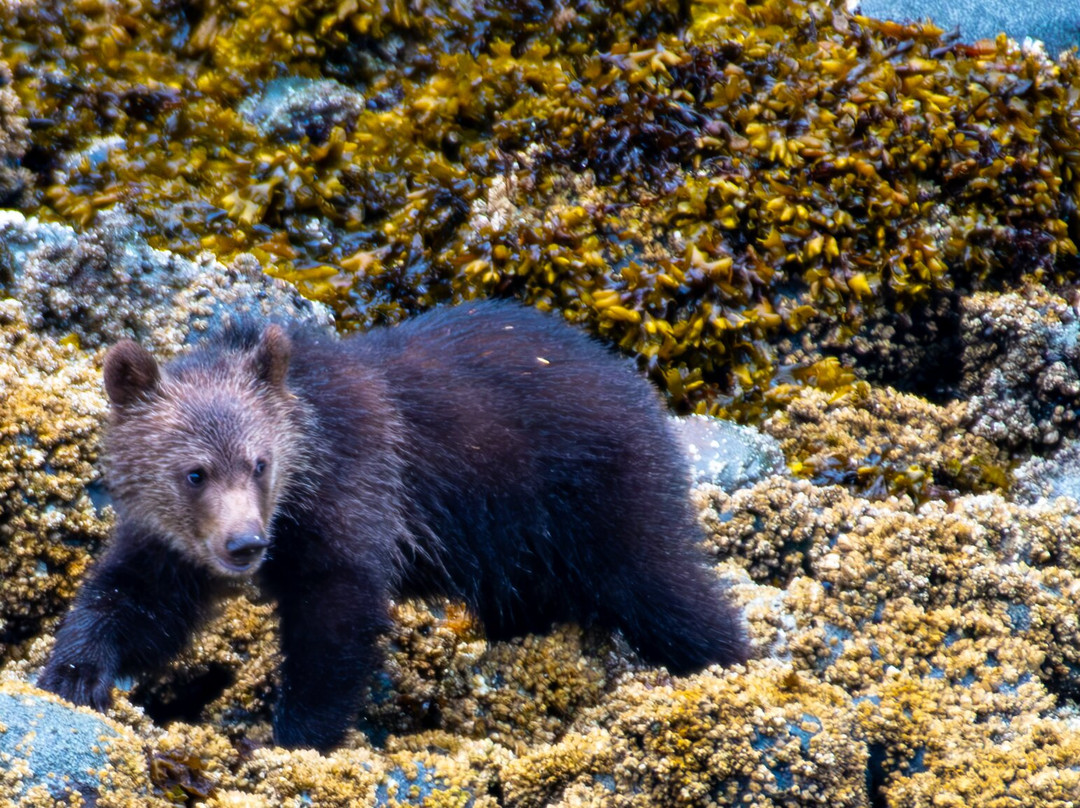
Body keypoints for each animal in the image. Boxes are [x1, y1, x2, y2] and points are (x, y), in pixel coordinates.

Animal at [40, 300, 748, 751]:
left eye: (260, 462)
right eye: (195, 472)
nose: (244, 545)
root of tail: (629, 374)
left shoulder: (356, 486)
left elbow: (337, 613)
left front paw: (290, 737)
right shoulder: (174, 540)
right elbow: (139, 598)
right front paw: (73, 673)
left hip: (594, 494)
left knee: (664, 587)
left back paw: (729, 663)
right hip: (522, 547)